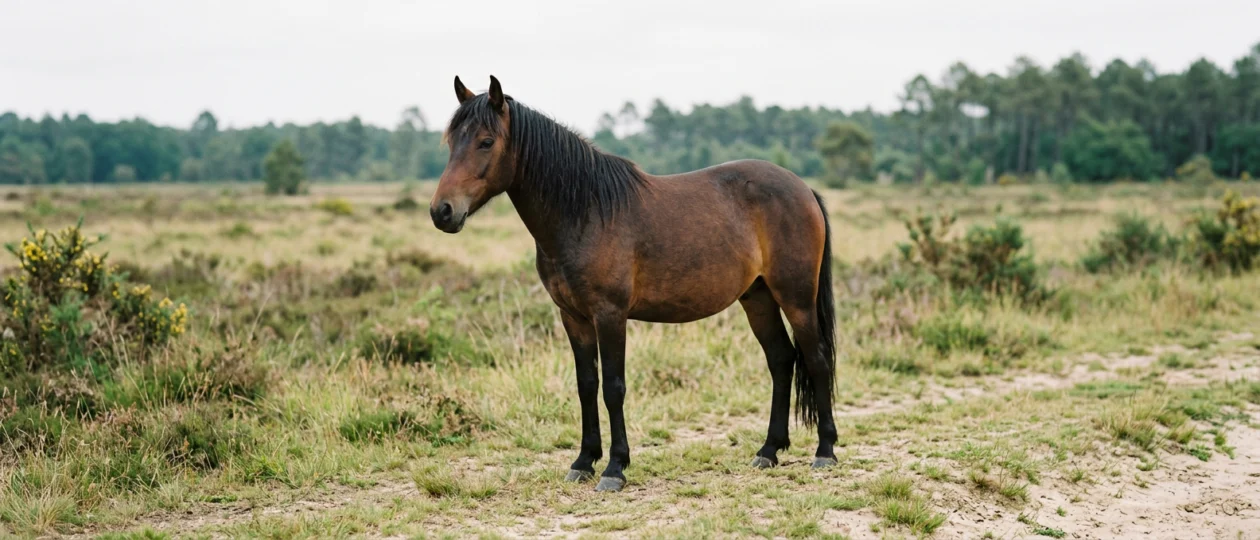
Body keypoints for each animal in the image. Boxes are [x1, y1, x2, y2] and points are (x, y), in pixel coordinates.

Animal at [429, 76, 837, 492]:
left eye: (486, 141)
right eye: (452, 141)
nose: (442, 211)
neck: (585, 212)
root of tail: (803, 189)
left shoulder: (610, 315)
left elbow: (613, 387)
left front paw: (615, 468)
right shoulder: (573, 317)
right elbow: (587, 385)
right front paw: (583, 461)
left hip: (796, 298)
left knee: (817, 358)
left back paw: (824, 451)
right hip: (758, 298)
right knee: (781, 360)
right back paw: (768, 450)